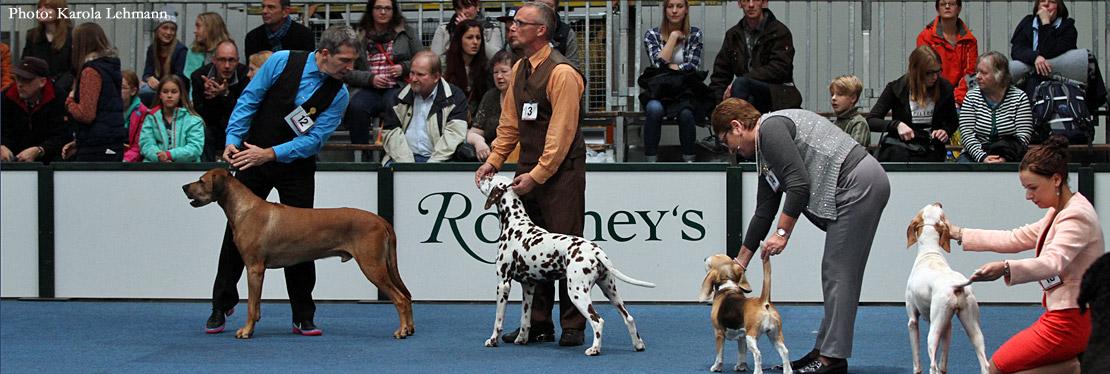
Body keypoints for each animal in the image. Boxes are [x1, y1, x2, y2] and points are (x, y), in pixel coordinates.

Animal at [184, 168, 415, 337]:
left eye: (201, 181)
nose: (184, 187)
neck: (244, 208)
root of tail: (381, 220)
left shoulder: (254, 268)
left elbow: (250, 305)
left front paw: (247, 331)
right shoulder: (257, 271)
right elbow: (256, 306)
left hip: (372, 266)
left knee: (400, 299)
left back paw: (402, 331)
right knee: (406, 295)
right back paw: (410, 328)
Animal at [479, 175, 652, 355]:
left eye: (490, 178)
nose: (481, 176)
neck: (515, 223)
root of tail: (595, 250)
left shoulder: (503, 283)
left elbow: (498, 319)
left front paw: (492, 340)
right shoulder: (528, 286)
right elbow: (525, 319)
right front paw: (521, 339)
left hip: (577, 293)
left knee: (598, 321)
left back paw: (594, 349)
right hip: (610, 290)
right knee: (629, 318)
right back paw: (638, 345)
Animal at [905, 204, 994, 372]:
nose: (938, 203)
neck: (930, 253)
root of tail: (955, 285)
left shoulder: (913, 320)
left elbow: (916, 361)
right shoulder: (947, 326)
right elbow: (943, 364)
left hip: (933, 332)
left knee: (933, 366)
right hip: (973, 328)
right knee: (984, 364)